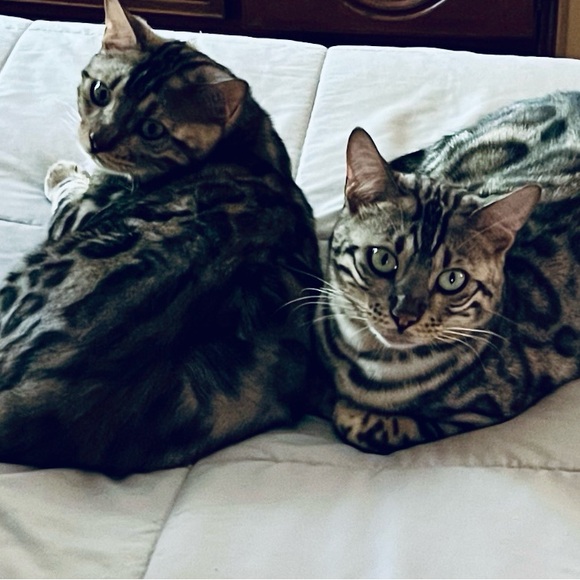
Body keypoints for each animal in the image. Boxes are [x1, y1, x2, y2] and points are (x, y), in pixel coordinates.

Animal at [0, 0, 321, 476]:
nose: (95, 141)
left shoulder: (80, 215)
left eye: (152, 129)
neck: (245, 139)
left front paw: (64, 170)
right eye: (100, 92)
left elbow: (70, 189)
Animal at [316, 94, 580, 455]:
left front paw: (342, 407)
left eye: (452, 280)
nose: (404, 316)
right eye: (382, 259)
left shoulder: (484, 411)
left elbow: (365, 424)